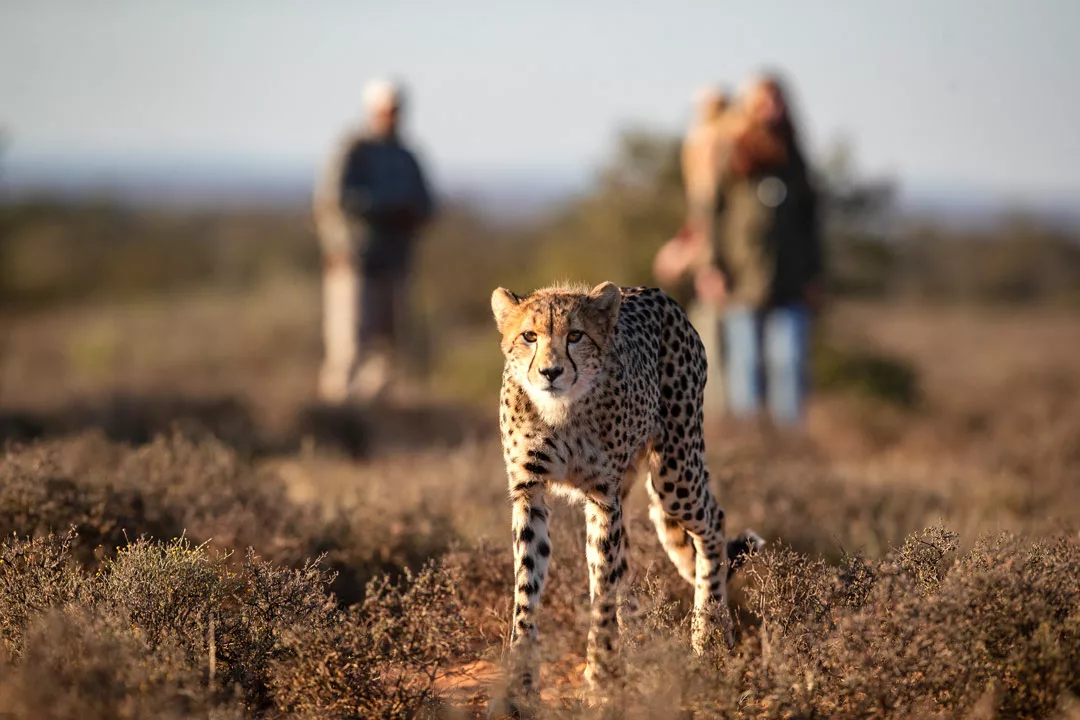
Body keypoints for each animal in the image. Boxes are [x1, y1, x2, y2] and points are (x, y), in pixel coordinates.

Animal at [490, 282, 760, 703]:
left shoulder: (603, 496)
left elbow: (602, 587)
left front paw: (600, 676)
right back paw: (638, 647)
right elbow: (527, 588)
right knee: (627, 567)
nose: (550, 372)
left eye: (575, 336)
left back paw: (708, 637)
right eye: (529, 336)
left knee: (713, 522)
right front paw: (521, 684)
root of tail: (655, 292)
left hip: (674, 473)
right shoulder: (529, 493)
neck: (561, 410)